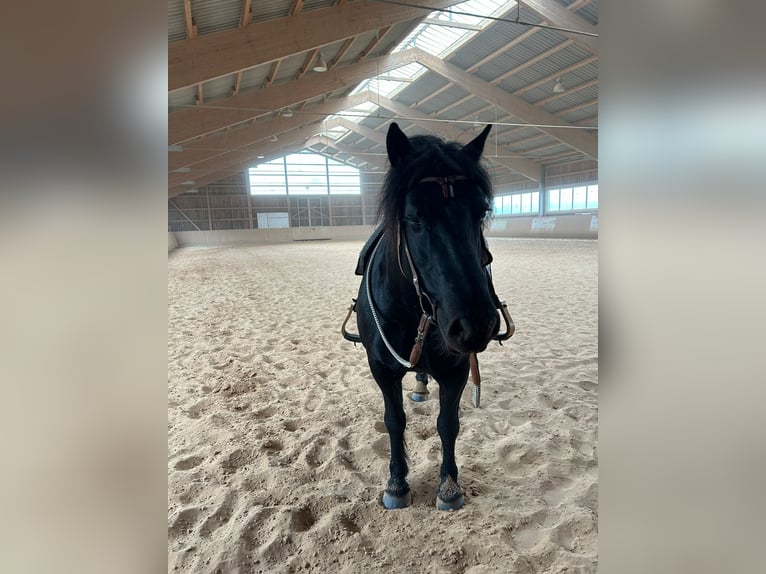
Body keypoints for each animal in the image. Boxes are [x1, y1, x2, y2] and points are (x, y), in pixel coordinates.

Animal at [344, 124, 516, 510]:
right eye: (413, 217)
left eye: (481, 211)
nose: (474, 325)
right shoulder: (380, 368)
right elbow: (394, 421)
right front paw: (396, 484)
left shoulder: (457, 368)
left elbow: (448, 424)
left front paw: (449, 486)